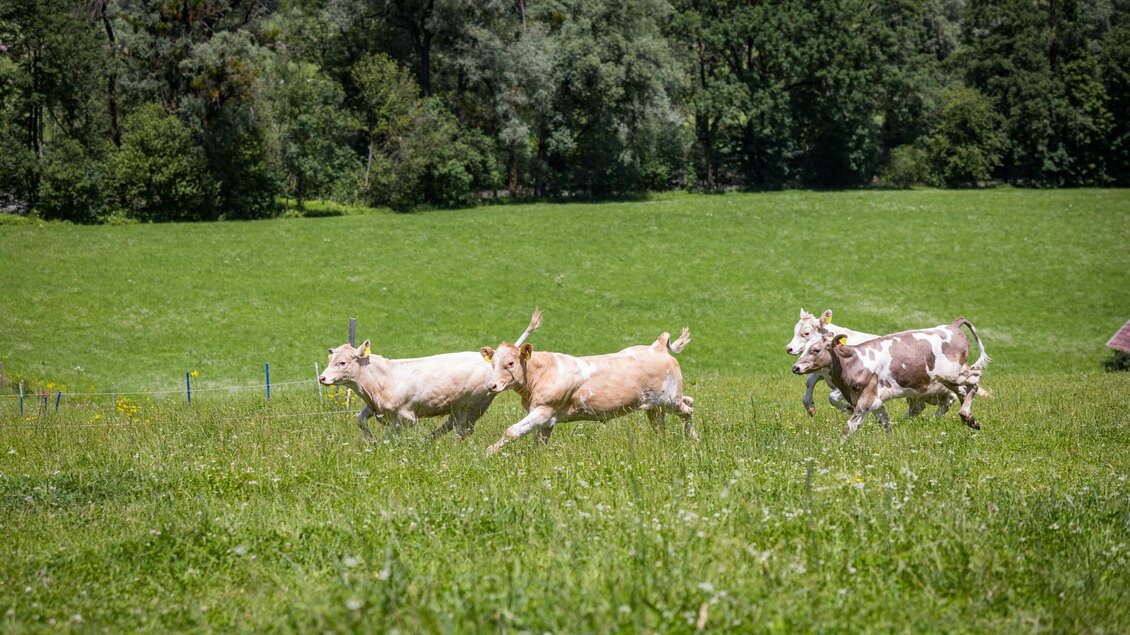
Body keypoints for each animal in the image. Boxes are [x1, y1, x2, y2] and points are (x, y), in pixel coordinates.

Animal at [318, 322, 529, 440]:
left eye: (342, 362)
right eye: (330, 359)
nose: (322, 378)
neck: (380, 379)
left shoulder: (406, 418)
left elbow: (390, 435)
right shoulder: (373, 408)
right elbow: (361, 421)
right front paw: (372, 441)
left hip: (474, 407)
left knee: (461, 431)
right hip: (457, 406)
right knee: (450, 425)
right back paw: (426, 442)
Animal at [479, 319, 697, 456]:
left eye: (510, 363)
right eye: (493, 364)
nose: (492, 385)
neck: (541, 372)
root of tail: (656, 347)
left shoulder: (544, 410)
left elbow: (512, 431)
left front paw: (488, 453)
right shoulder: (547, 419)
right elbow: (539, 443)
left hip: (669, 400)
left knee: (688, 409)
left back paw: (693, 439)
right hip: (654, 406)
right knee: (673, 415)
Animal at [786, 308, 957, 418]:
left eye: (806, 333)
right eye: (794, 330)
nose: (789, 348)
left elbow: (832, 396)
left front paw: (847, 409)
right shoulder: (822, 372)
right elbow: (810, 382)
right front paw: (810, 407)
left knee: (949, 399)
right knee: (917, 406)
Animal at [791, 317, 990, 436]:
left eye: (815, 350)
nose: (795, 367)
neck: (854, 360)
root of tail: (952, 325)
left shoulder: (866, 398)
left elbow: (850, 425)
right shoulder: (875, 402)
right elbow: (885, 423)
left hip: (953, 375)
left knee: (974, 380)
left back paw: (965, 415)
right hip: (945, 382)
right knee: (959, 393)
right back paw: (970, 419)